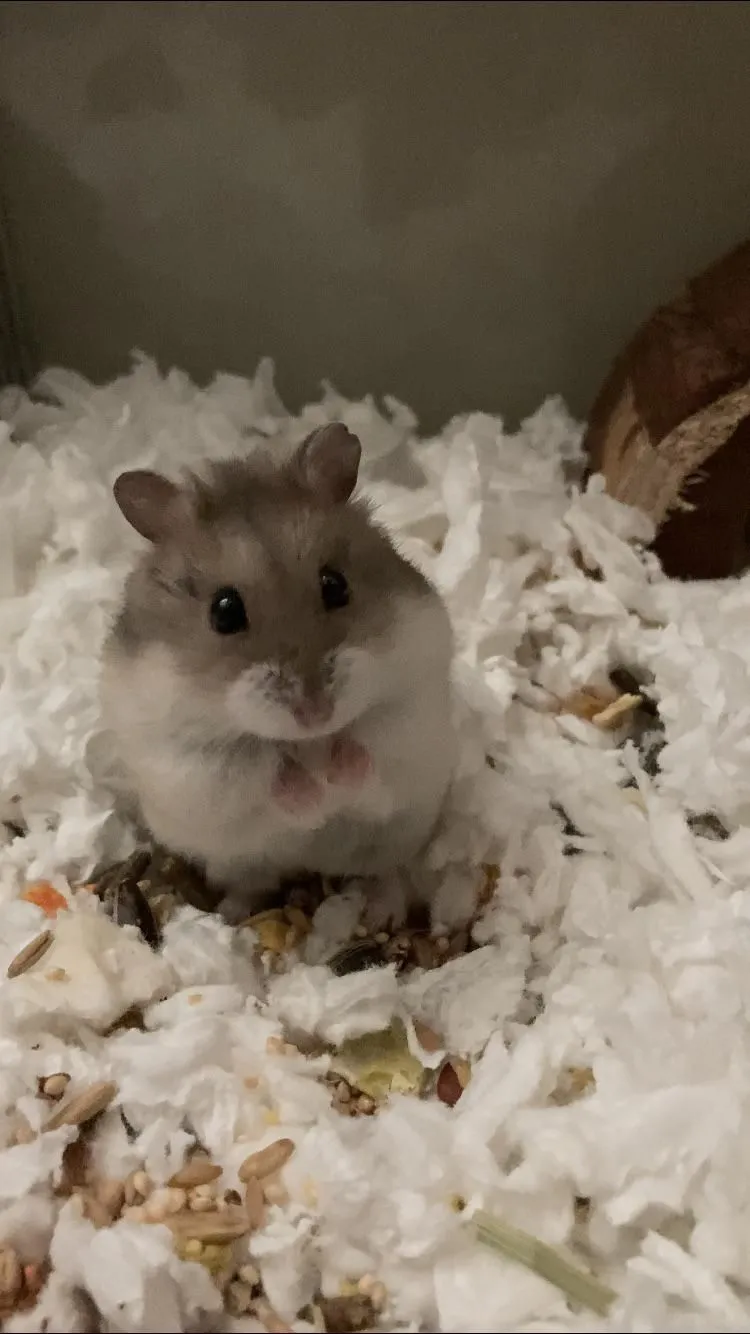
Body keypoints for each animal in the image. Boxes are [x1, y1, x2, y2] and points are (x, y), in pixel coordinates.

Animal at [100, 423, 456, 921]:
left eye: (335, 585)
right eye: (224, 611)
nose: (316, 712)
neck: (309, 743)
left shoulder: (410, 712)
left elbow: (368, 751)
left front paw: (337, 776)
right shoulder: (192, 764)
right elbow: (265, 778)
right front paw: (314, 796)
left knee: (386, 873)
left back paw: (380, 910)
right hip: (235, 863)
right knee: (250, 885)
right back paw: (231, 915)